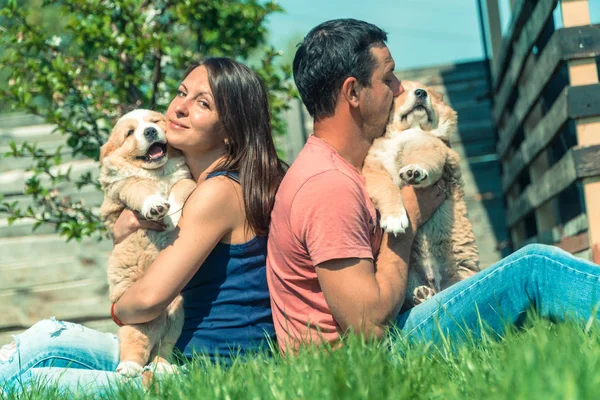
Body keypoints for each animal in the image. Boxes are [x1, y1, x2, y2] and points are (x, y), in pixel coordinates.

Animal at [99, 110, 196, 378]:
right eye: (130, 132)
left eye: (155, 121)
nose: (150, 132)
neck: (158, 173)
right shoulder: (125, 186)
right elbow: (142, 189)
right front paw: (156, 206)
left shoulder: (184, 177)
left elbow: (181, 187)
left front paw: (173, 215)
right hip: (138, 320)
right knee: (136, 345)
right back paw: (129, 368)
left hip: (177, 314)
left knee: (163, 348)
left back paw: (164, 368)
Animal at [364, 81, 480, 306]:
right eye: (402, 90)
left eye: (428, 91)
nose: (420, 93)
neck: (407, 132)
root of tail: (434, 280)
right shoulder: (373, 169)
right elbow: (387, 188)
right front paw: (395, 219)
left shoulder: (434, 149)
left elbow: (424, 159)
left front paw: (414, 171)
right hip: (409, 274)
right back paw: (422, 295)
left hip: (461, 269)